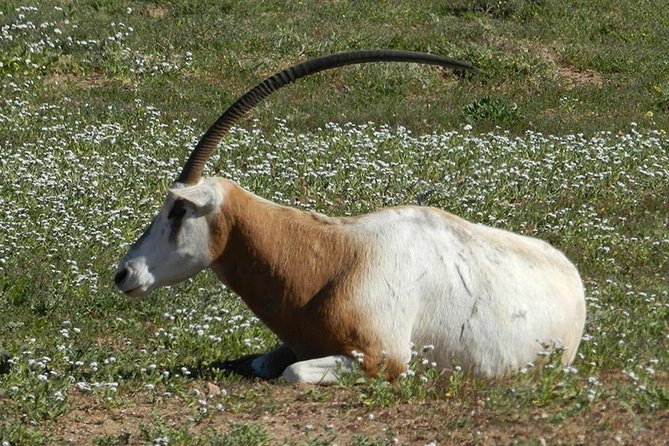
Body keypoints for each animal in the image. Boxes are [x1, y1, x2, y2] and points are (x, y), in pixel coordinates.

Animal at [115, 50, 586, 384]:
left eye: (179, 209)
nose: (124, 273)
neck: (334, 258)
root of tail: (571, 276)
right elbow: (267, 363)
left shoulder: (384, 358)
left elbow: (292, 373)